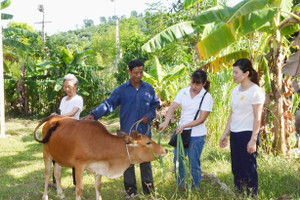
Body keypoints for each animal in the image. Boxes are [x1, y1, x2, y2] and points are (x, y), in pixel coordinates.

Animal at [34, 115, 168, 200]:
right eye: (148, 142)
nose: (165, 150)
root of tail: (54, 117)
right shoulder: (78, 165)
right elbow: (79, 188)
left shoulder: (99, 168)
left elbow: (98, 187)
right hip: (46, 153)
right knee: (47, 175)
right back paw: (45, 196)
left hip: (59, 157)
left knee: (57, 174)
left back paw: (60, 194)